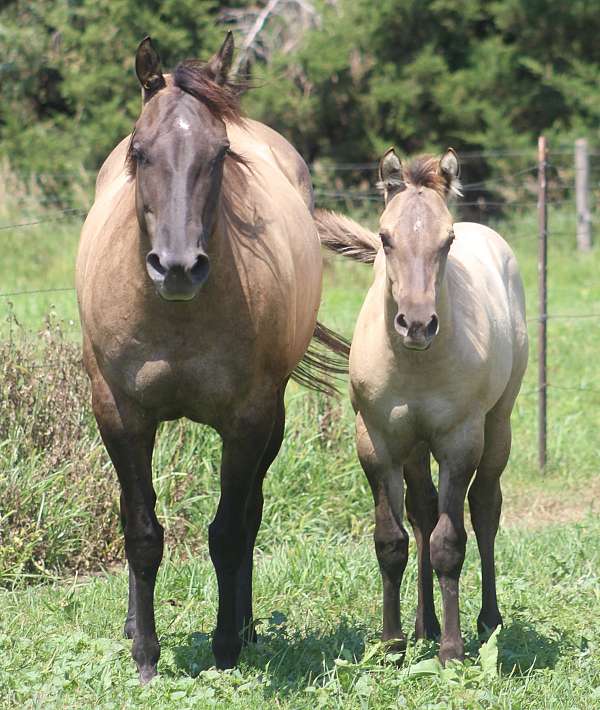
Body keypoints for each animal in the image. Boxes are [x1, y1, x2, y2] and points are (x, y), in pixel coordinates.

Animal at [75, 34, 346, 684]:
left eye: (221, 153)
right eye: (141, 152)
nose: (177, 267)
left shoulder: (247, 420)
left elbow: (227, 532)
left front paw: (225, 649)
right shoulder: (119, 416)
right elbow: (141, 530)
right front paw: (145, 656)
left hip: (272, 422)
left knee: (249, 517)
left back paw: (245, 629)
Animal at [316, 150, 528, 668]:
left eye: (447, 240)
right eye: (385, 238)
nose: (416, 324)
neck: (416, 364)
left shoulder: (458, 443)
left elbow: (450, 542)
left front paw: (452, 651)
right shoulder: (378, 443)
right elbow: (392, 540)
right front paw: (392, 641)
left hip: (497, 425)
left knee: (485, 508)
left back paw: (486, 621)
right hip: (414, 447)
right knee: (422, 512)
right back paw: (423, 624)